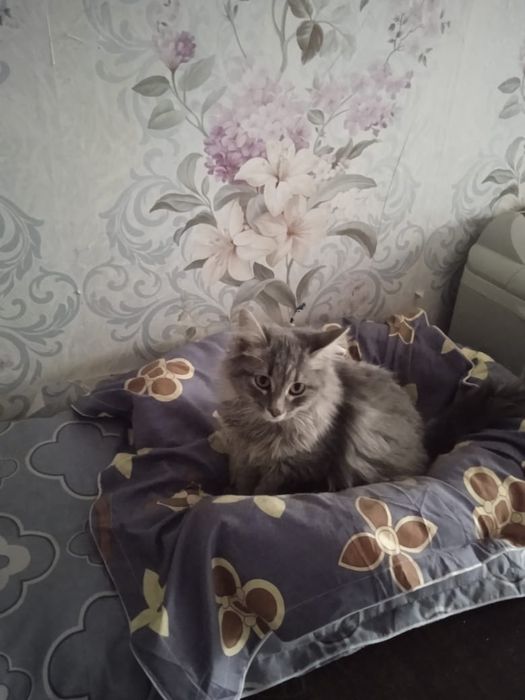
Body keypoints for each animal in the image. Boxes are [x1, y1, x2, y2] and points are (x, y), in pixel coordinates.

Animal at [217, 309, 427, 495]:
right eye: (262, 381)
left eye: (297, 388)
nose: (275, 411)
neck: (263, 431)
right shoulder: (244, 457)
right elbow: (244, 485)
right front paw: (233, 493)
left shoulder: (294, 468)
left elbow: (263, 492)